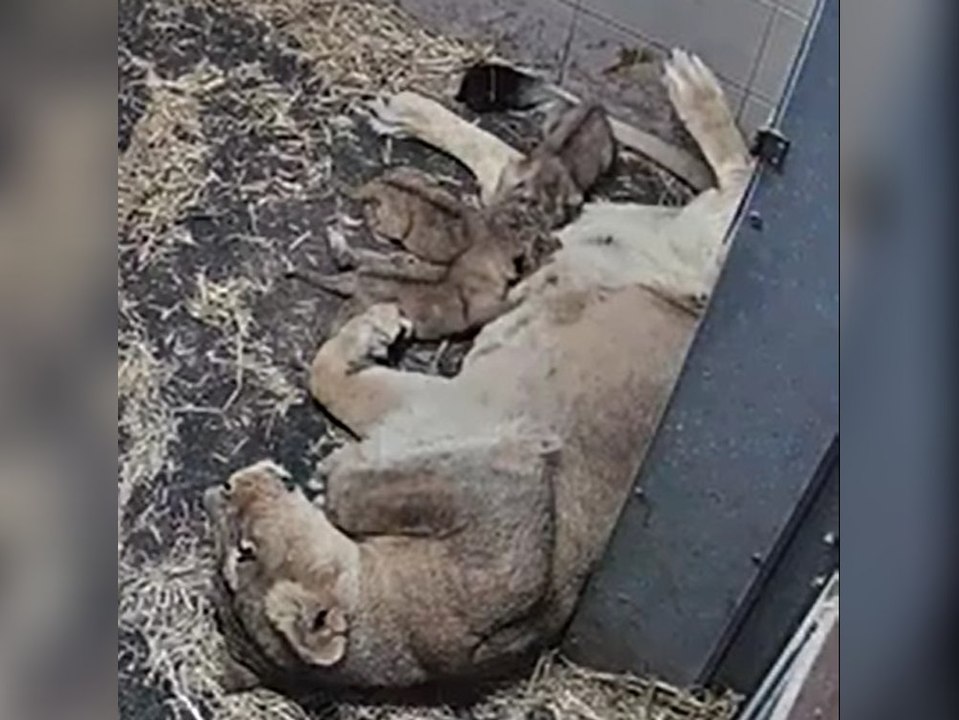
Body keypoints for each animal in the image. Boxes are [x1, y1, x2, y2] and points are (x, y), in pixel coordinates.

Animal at [204, 50, 753, 693]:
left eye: (244, 551)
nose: (230, 484)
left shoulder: (447, 413)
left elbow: (326, 379)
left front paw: (374, 334)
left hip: (700, 247)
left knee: (739, 174)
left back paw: (692, 88)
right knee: (516, 167)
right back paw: (410, 110)